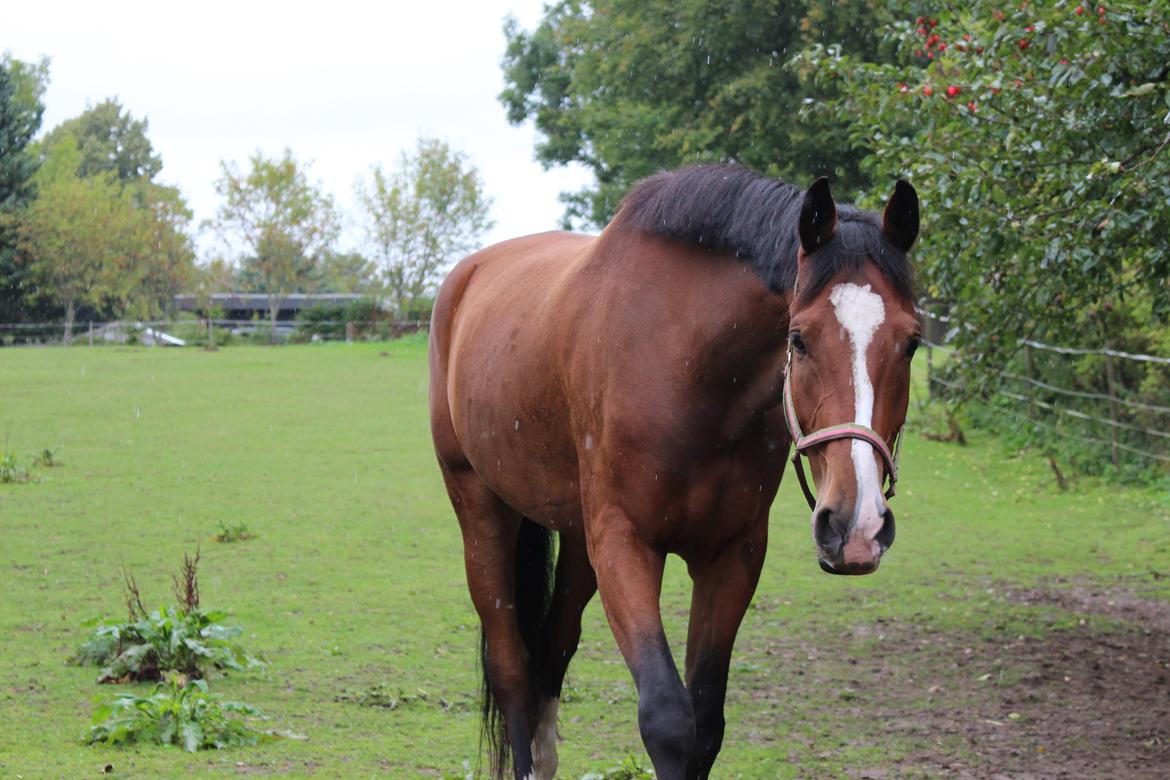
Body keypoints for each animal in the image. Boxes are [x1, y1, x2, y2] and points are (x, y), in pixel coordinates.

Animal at [425, 161, 917, 776]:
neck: (687, 368)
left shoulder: (731, 557)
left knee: (554, 648)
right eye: (798, 339)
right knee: (513, 666)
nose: (857, 527)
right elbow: (667, 718)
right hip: (481, 507)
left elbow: (706, 723)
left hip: (577, 538)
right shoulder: (624, 545)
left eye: (912, 342)